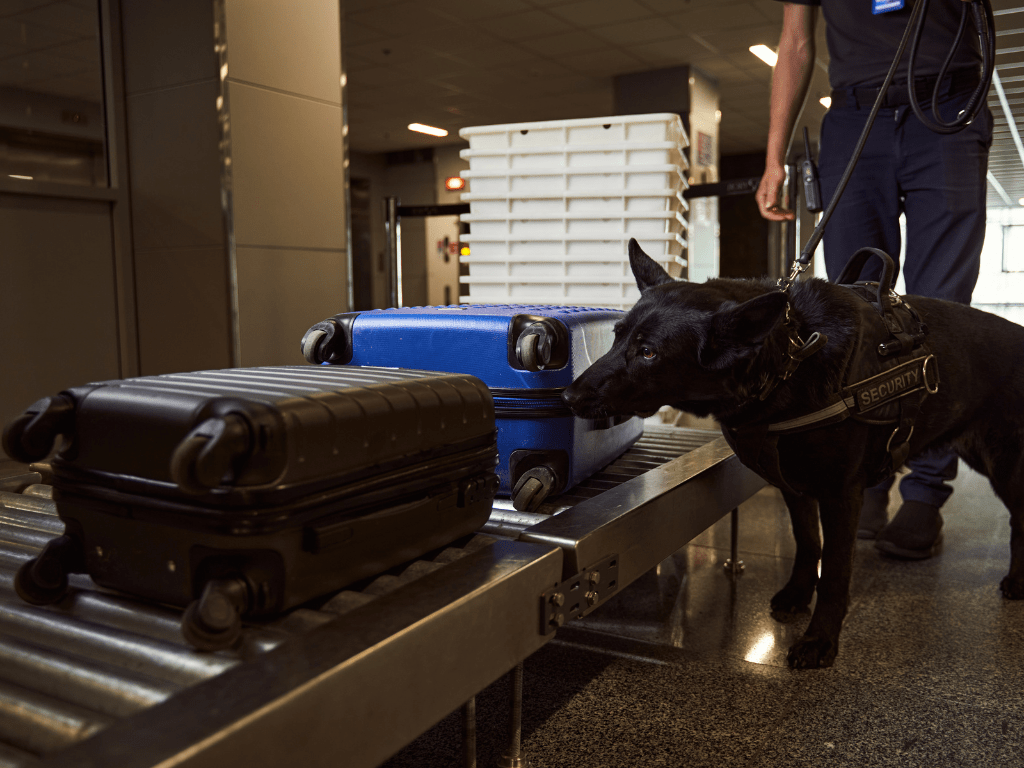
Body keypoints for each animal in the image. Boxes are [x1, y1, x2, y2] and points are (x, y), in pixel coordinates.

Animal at [565, 239, 1019, 667]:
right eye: (616, 336)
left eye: (648, 353)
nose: (568, 397)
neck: (790, 357)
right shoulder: (795, 487)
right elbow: (807, 542)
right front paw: (799, 593)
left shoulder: (840, 496)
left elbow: (834, 570)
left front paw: (820, 639)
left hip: (1006, 469)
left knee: (1020, 520)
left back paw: (1017, 580)